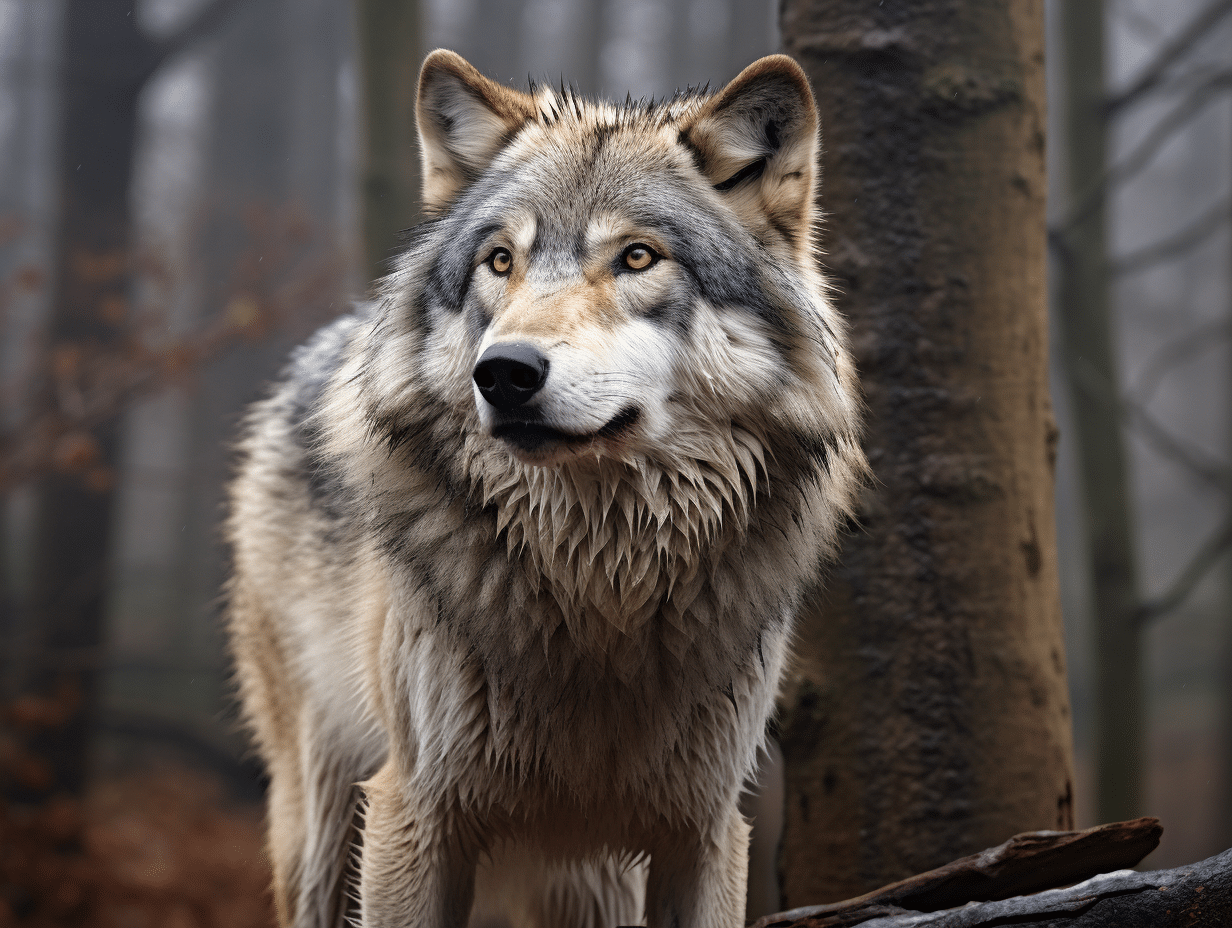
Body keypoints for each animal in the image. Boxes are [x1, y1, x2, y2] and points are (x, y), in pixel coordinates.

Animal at [226, 49, 865, 928]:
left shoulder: (706, 829)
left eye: (638, 257)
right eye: (501, 260)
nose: (503, 372)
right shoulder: (413, 813)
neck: (600, 588)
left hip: (588, 884)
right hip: (322, 826)